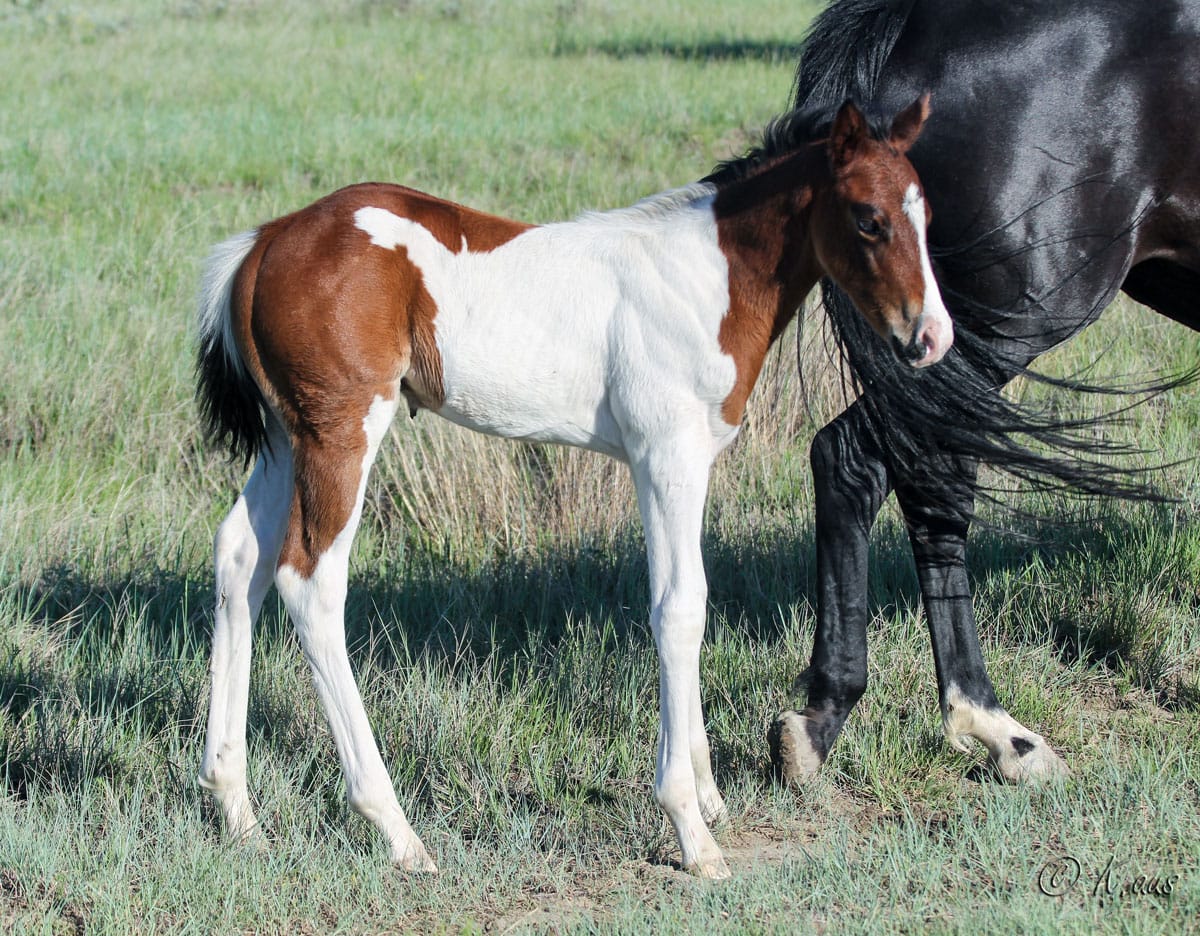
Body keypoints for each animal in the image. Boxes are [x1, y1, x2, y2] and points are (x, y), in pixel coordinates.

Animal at [194, 99, 945, 883]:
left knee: (240, 559)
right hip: (342, 432)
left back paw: (237, 809)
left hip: (287, 439)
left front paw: (710, 799)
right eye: (867, 218)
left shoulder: (683, 463)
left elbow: (687, 601)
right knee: (310, 580)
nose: (932, 335)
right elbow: (680, 611)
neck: (705, 279)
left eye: (927, 213)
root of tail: (263, 244)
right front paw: (691, 830)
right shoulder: (665, 456)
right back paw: (396, 830)